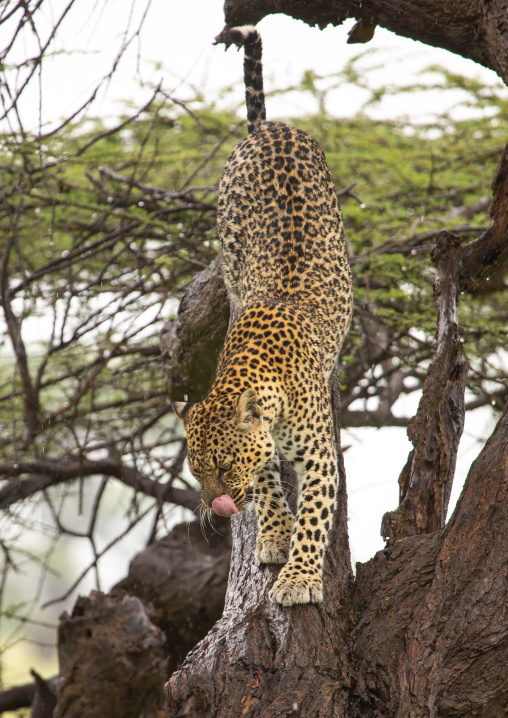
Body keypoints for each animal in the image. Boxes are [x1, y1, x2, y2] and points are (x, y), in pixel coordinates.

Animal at [174, 26, 353, 606]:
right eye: (197, 470)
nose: (215, 506)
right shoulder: (267, 447)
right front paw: (274, 536)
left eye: (222, 465)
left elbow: (315, 515)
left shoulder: (321, 456)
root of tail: (269, 128)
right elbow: (270, 486)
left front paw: (298, 578)